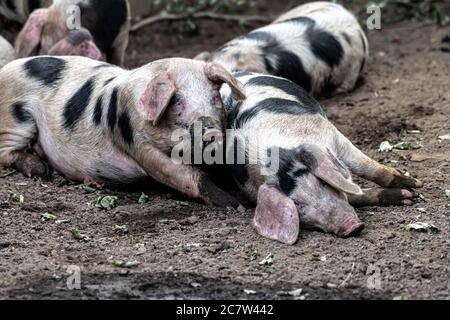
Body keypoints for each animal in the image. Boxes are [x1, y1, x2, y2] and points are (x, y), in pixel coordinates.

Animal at [0, 55, 246, 208]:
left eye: (215, 99)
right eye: (177, 103)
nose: (210, 132)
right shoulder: (136, 142)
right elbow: (183, 174)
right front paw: (233, 204)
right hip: (15, 119)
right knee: (5, 153)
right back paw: (42, 171)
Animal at [221, 72, 422, 242]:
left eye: (322, 182)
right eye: (297, 204)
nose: (351, 227)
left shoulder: (332, 134)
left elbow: (367, 167)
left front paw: (414, 186)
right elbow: (354, 195)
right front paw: (408, 197)